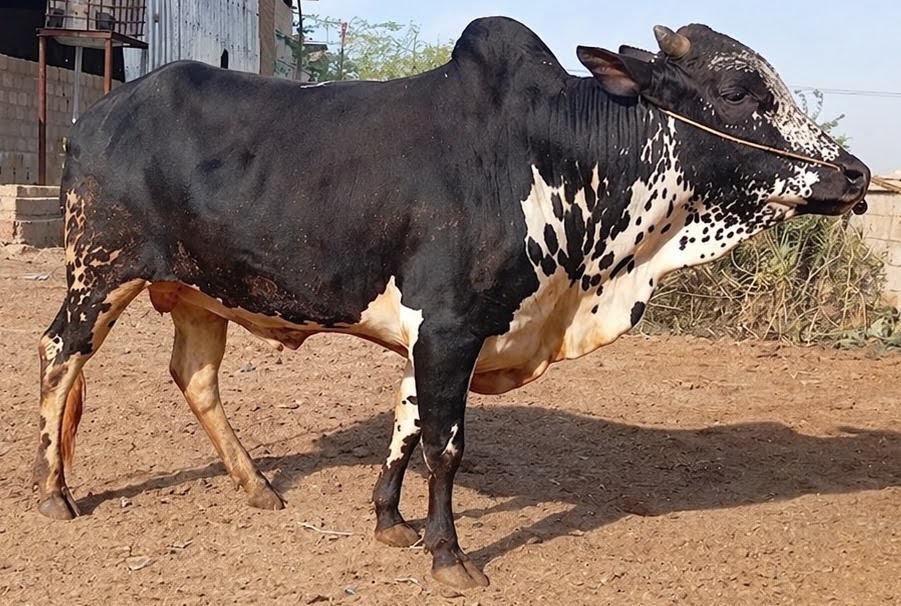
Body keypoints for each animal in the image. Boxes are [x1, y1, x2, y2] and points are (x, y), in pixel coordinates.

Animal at [34, 16, 868, 589]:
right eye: (738, 92)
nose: (856, 173)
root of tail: (95, 113)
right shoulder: (449, 327)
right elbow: (445, 445)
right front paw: (448, 555)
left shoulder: (435, 336)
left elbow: (406, 427)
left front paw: (388, 521)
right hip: (98, 274)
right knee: (58, 359)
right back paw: (54, 494)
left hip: (201, 293)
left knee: (195, 378)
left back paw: (257, 485)